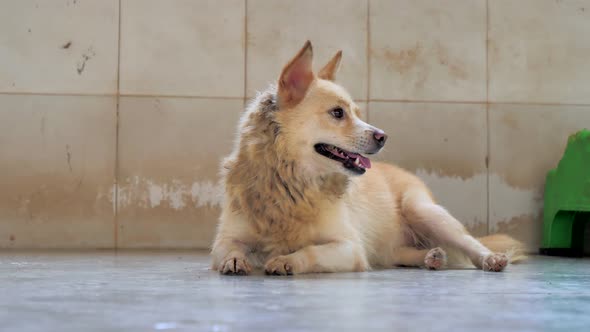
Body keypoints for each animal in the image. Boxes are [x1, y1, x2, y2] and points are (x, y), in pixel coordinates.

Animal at [213, 40, 528, 274]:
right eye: (337, 113)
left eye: (356, 113)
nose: (383, 136)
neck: (293, 181)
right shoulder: (223, 240)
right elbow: (229, 249)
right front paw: (236, 260)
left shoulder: (350, 248)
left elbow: (310, 250)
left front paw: (286, 260)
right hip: (391, 246)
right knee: (400, 254)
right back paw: (431, 257)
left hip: (423, 210)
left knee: (470, 242)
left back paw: (490, 258)